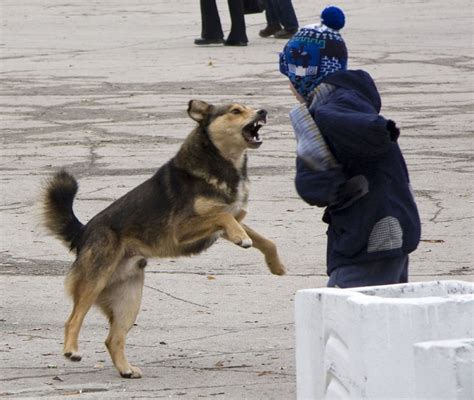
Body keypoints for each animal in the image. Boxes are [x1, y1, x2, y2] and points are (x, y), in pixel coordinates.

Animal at [41, 99, 286, 378]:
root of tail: (83, 233)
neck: (220, 161)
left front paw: (275, 265)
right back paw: (72, 350)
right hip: (94, 281)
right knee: (73, 319)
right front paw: (241, 239)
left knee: (113, 339)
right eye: (236, 111)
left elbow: (264, 239)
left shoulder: (231, 221)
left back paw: (126, 369)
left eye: (249, 106)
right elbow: (223, 216)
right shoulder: (182, 229)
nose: (263, 111)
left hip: (129, 298)